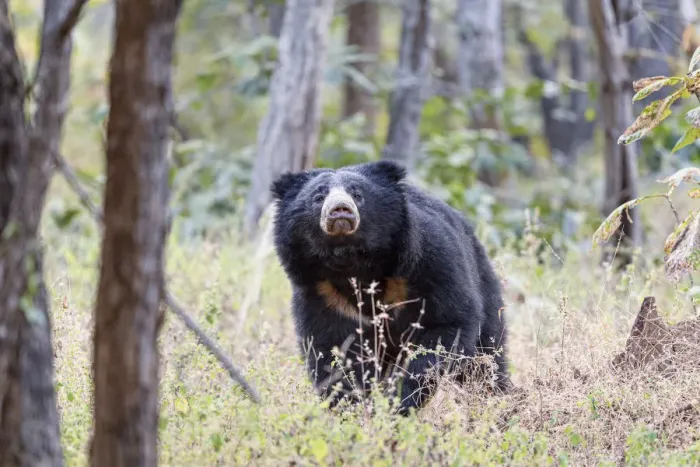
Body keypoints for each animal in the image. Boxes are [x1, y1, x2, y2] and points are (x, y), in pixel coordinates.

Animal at [270, 160, 510, 415]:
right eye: (318, 196)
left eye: (358, 194)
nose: (340, 210)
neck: (353, 262)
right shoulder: (322, 293)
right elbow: (331, 351)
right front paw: (352, 407)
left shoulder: (430, 261)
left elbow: (447, 324)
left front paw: (399, 400)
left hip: (485, 288)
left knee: (485, 359)